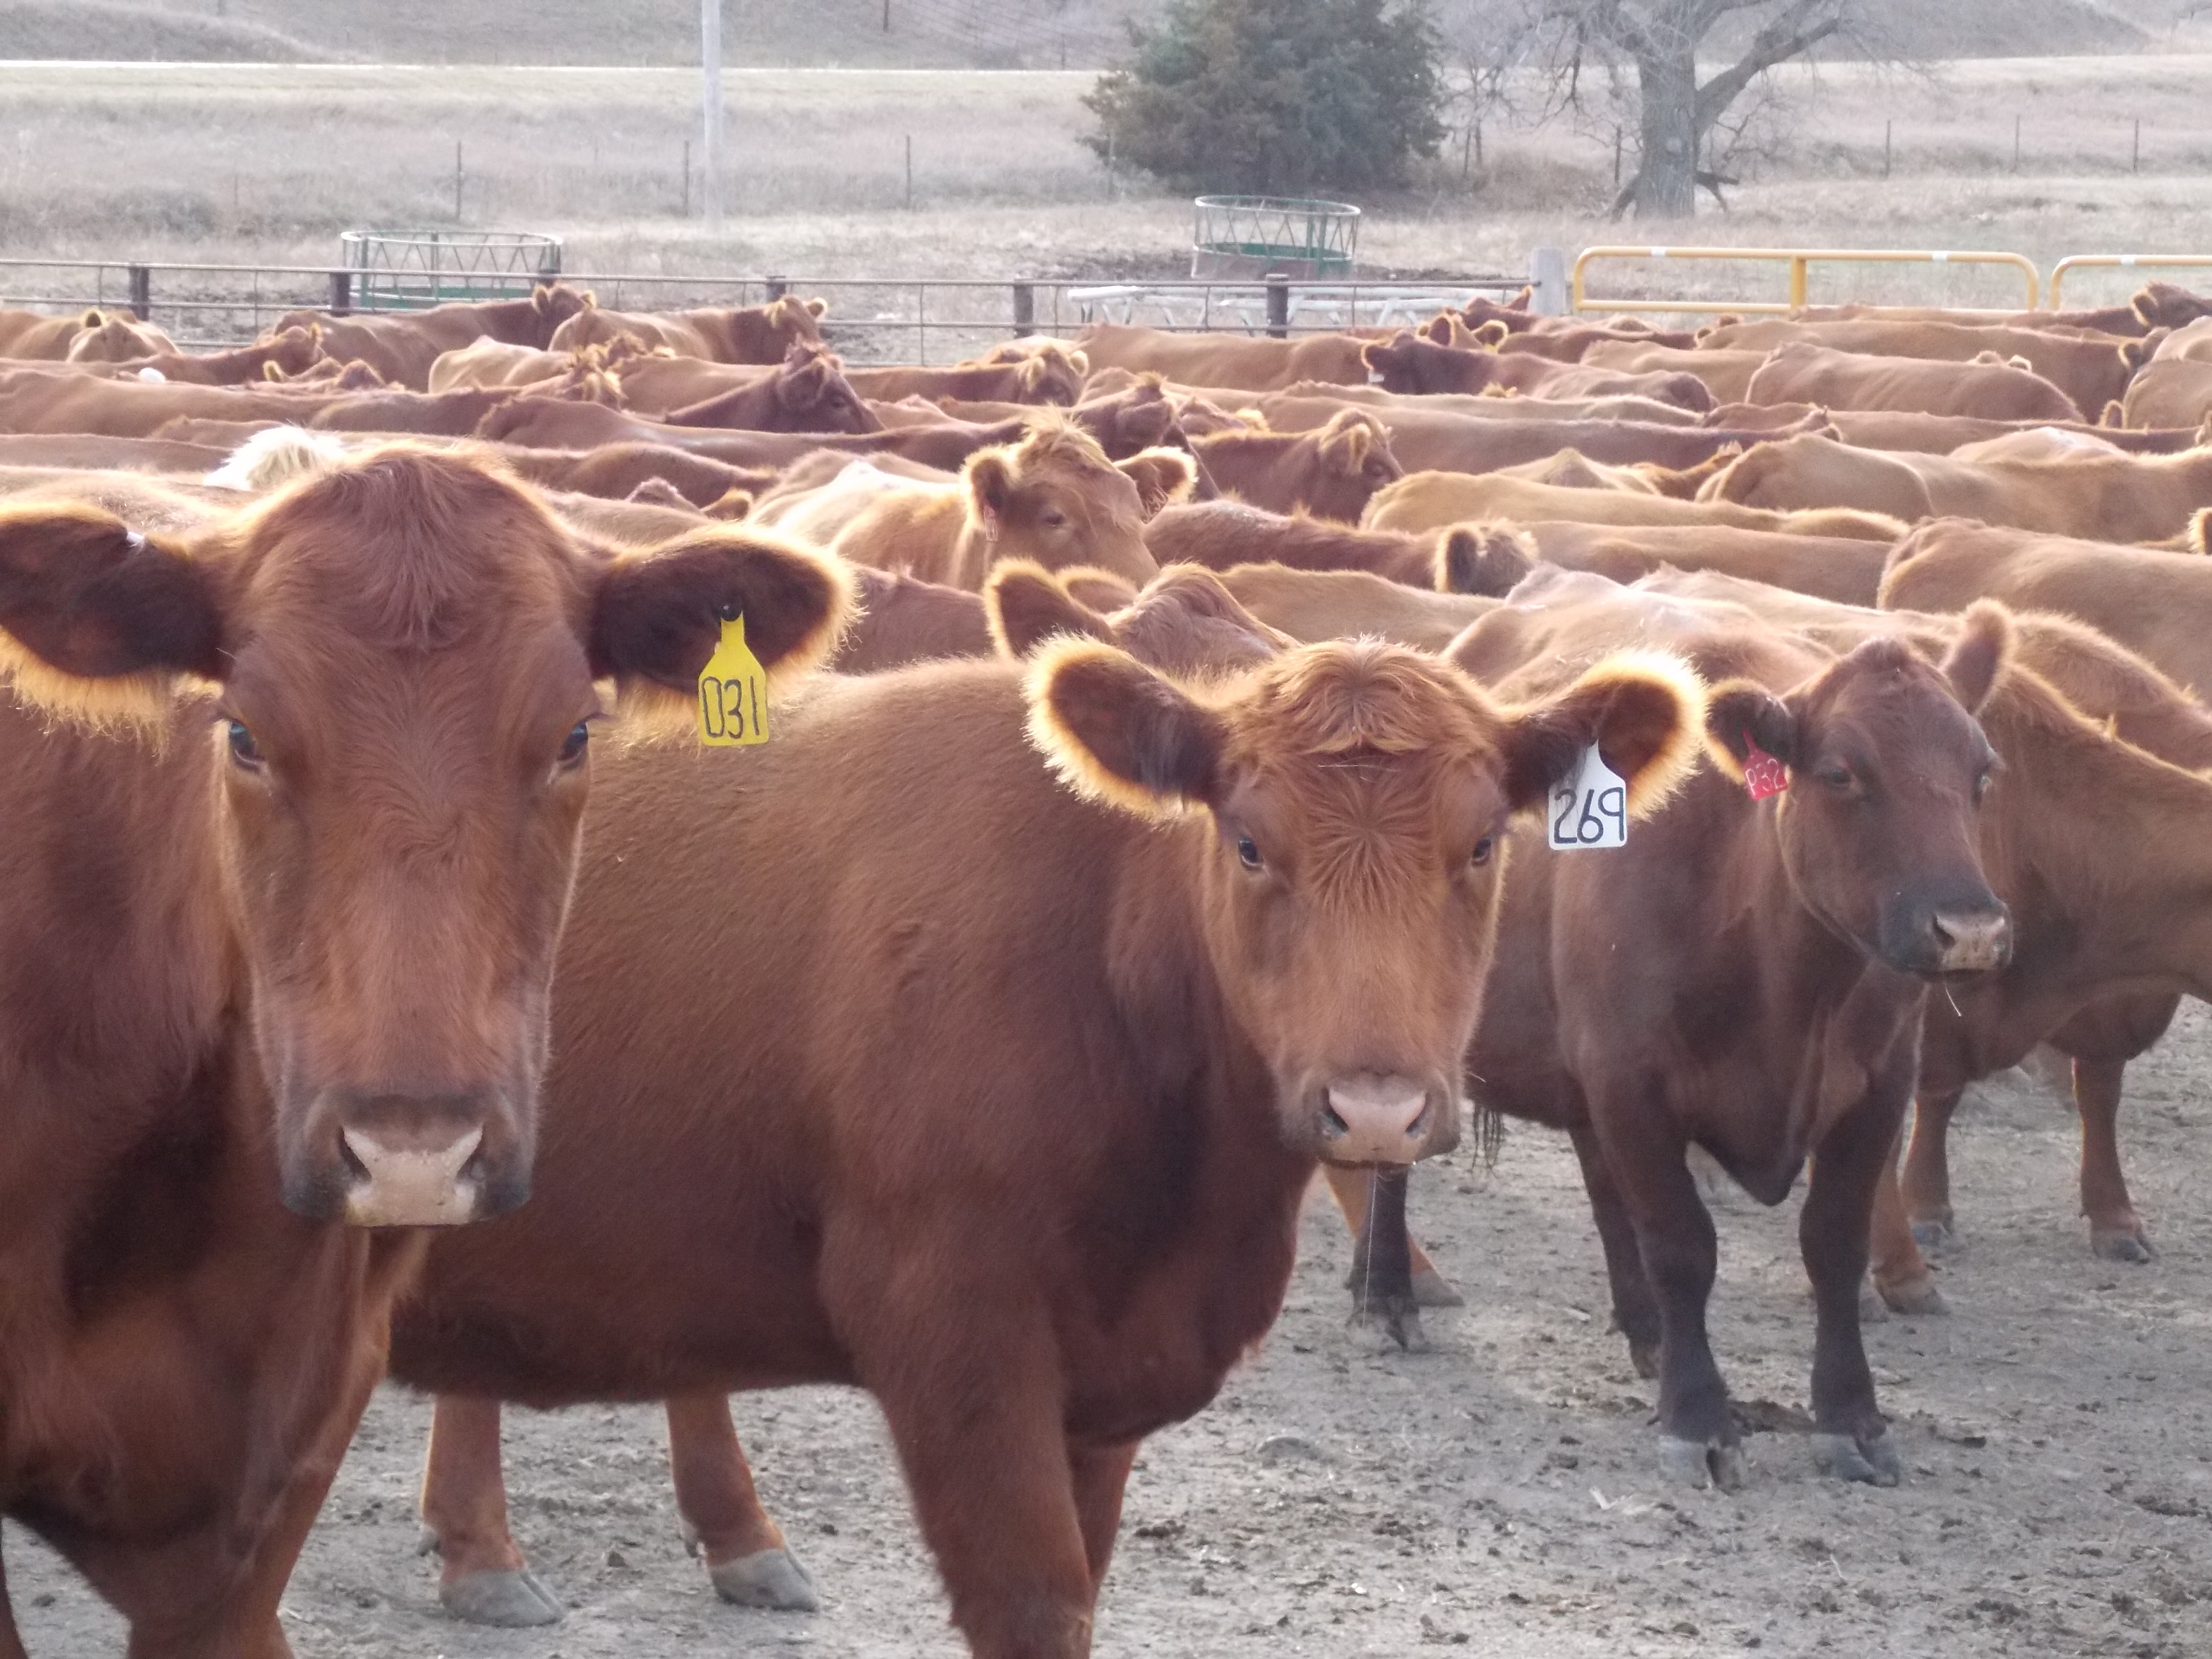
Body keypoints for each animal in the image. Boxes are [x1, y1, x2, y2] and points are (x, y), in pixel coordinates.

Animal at [391, 587, 1704, 1653]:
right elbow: (1034, 1606)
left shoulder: (1104, 1387)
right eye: (1248, 845)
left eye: (1481, 847)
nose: (1375, 1103)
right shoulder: (957, 1337)